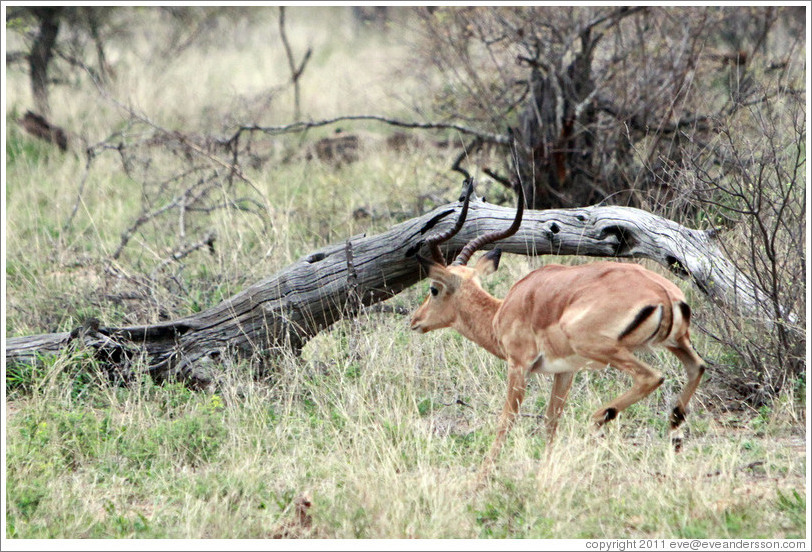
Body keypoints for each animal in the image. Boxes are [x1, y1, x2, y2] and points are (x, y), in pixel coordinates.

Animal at [410, 181, 706, 478]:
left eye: (434, 289)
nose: (415, 320)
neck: (502, 312)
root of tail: (662, 293)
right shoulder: (565, 371)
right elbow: (551, 419)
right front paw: (545, 470)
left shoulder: (519, 366)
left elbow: (507, 420)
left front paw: (481, 478)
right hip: (676, 342)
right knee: (697, 368)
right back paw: (675, 436)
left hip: (602, 347)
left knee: (651, 377)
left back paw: (599, 418)